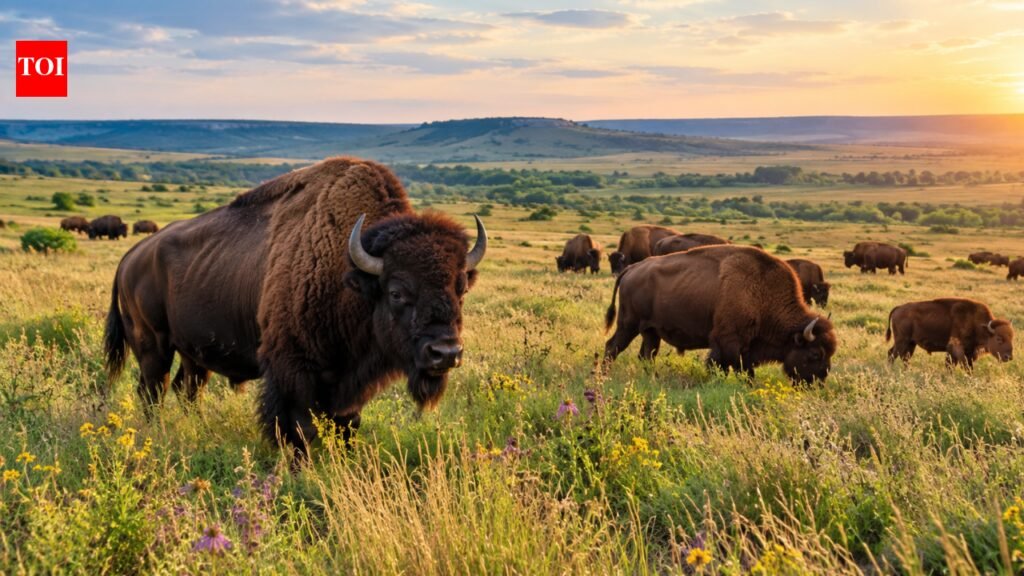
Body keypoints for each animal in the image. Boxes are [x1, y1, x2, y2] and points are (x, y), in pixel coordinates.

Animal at [104, 157, 486, 454]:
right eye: (396, 292)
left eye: (461, 289)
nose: (445, 353)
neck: (348, 273)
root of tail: (129, 259)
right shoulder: (293, 369)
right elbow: (299, 428)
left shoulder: (349, 381)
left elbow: (348, 424)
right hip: (153, 347)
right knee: (153, 390)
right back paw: (158, 431)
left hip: (193, 353)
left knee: (188, 389)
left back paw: (194, 427)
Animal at [603, 245, 837, 383]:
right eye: (815, 354)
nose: (818, 382)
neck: (762, 292)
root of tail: (632, 269)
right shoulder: (726, 343)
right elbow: (722, 366)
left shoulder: (746, 348)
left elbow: (745, 370)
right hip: (628, 325)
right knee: (612, 347)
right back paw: (605, 376)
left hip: (651, 331)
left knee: (646, 354)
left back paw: (653, 377)